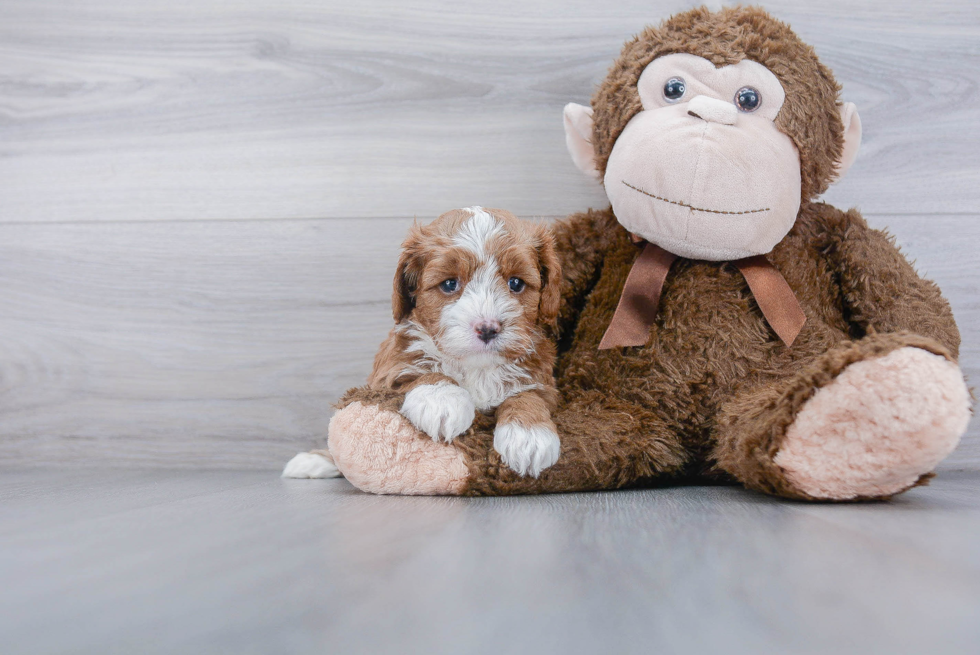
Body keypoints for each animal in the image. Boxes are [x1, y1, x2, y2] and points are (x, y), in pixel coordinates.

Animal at [368, 206, 564, 476]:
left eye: (516, 283)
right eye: (450, 284)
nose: (487, 328)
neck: (477, 368)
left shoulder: (543, 381)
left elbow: (528, 395)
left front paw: (529, 435)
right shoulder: (388, 371)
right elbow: (420, 371)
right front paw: (441, 400)